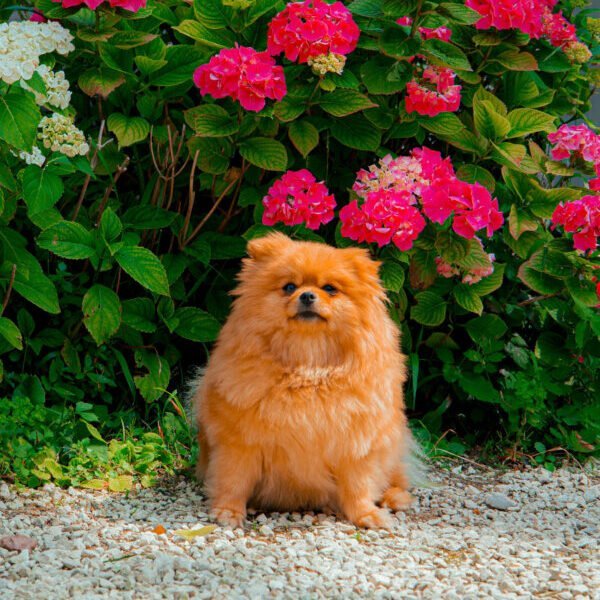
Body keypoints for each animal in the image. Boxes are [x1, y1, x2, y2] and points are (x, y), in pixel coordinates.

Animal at [190, 232, 414, 528]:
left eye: (330, 288)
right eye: (289, 287)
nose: (307, 295)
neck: (308, 367)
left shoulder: (356, 446)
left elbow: (358, 487)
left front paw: (366, 514)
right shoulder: (239, 442)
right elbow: (233, 480)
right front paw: (228, 511)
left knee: (396, 478)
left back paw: (395, 498)